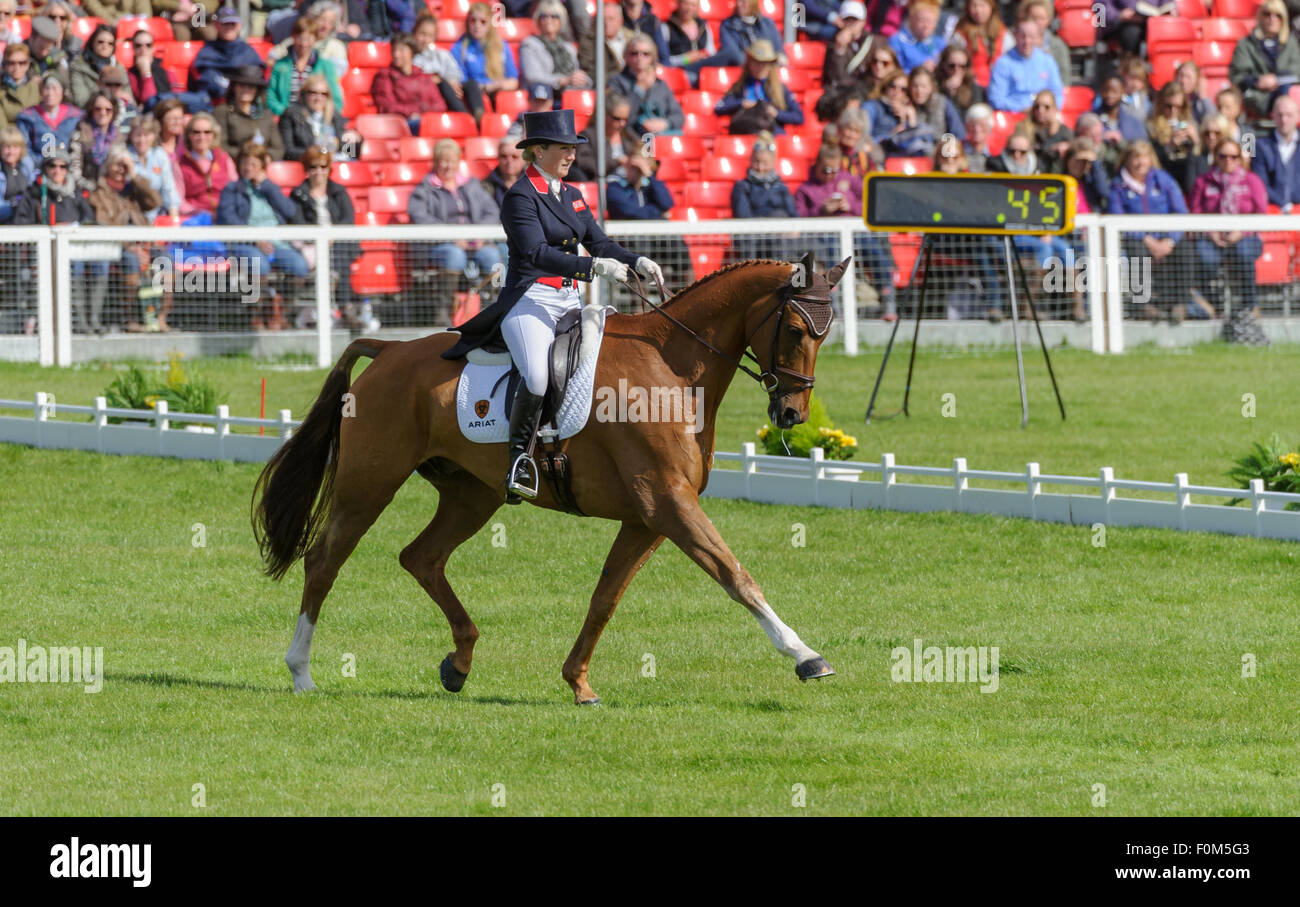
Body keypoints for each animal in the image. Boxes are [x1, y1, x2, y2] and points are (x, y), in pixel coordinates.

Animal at [249, 254, 847, 706]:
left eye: (827, 333)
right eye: (796, 329)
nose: (791, 413)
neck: (671, 369)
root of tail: (391, 350)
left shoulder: (647, 518)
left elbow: (605, 598)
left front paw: (578, 683)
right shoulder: (669, 505)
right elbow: (735, 574)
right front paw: (805, 655)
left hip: (472, 495)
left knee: (422, 557)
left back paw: (459, 662)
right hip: (368, 485)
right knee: (324, 561)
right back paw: (301, 672)